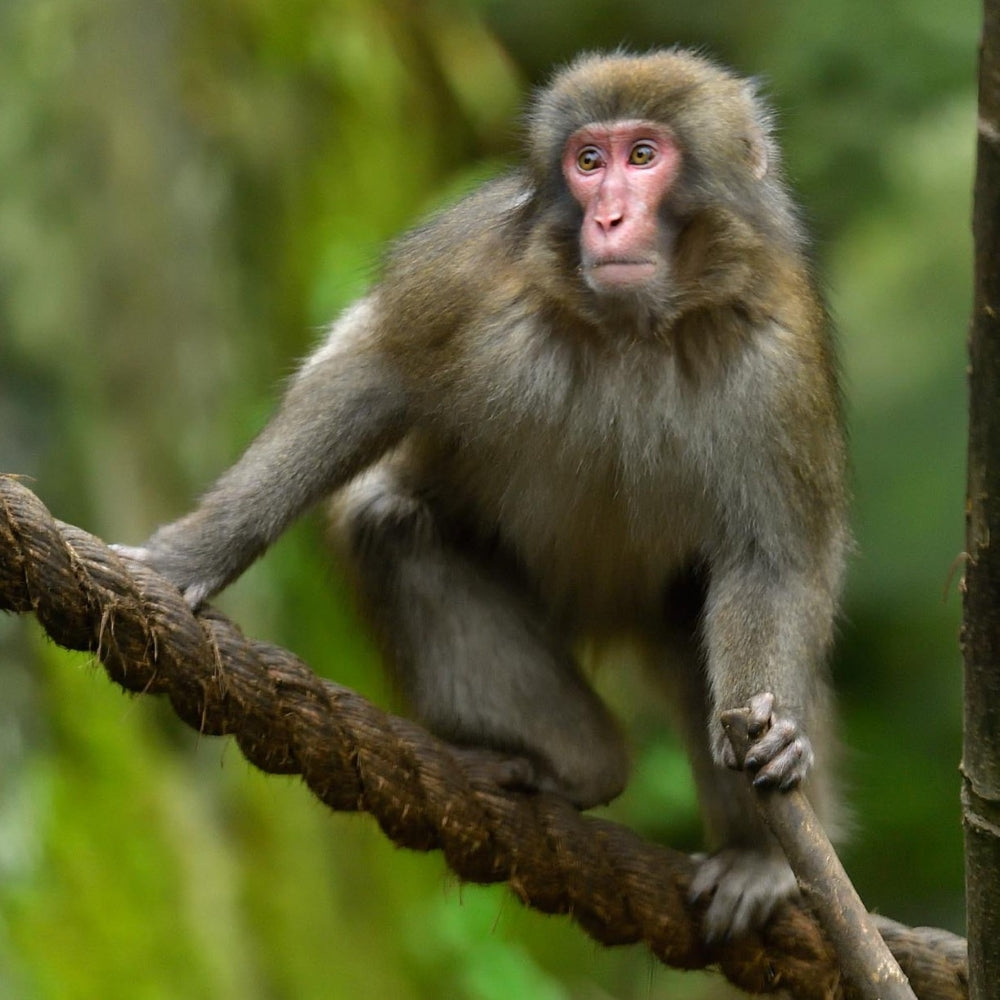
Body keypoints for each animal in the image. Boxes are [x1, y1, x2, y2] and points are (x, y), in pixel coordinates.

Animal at [116, 49, 849, 940]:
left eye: (644, 155)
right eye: (588, 160)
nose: (608, 219)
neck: (632, 329)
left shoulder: (779, 354)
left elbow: (773, 559)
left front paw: (775, 744)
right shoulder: (476, 276)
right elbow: (371, 367)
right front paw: (195, 555)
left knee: (690, 611)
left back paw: (756, 855)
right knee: (389, 521)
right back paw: (579, 760)